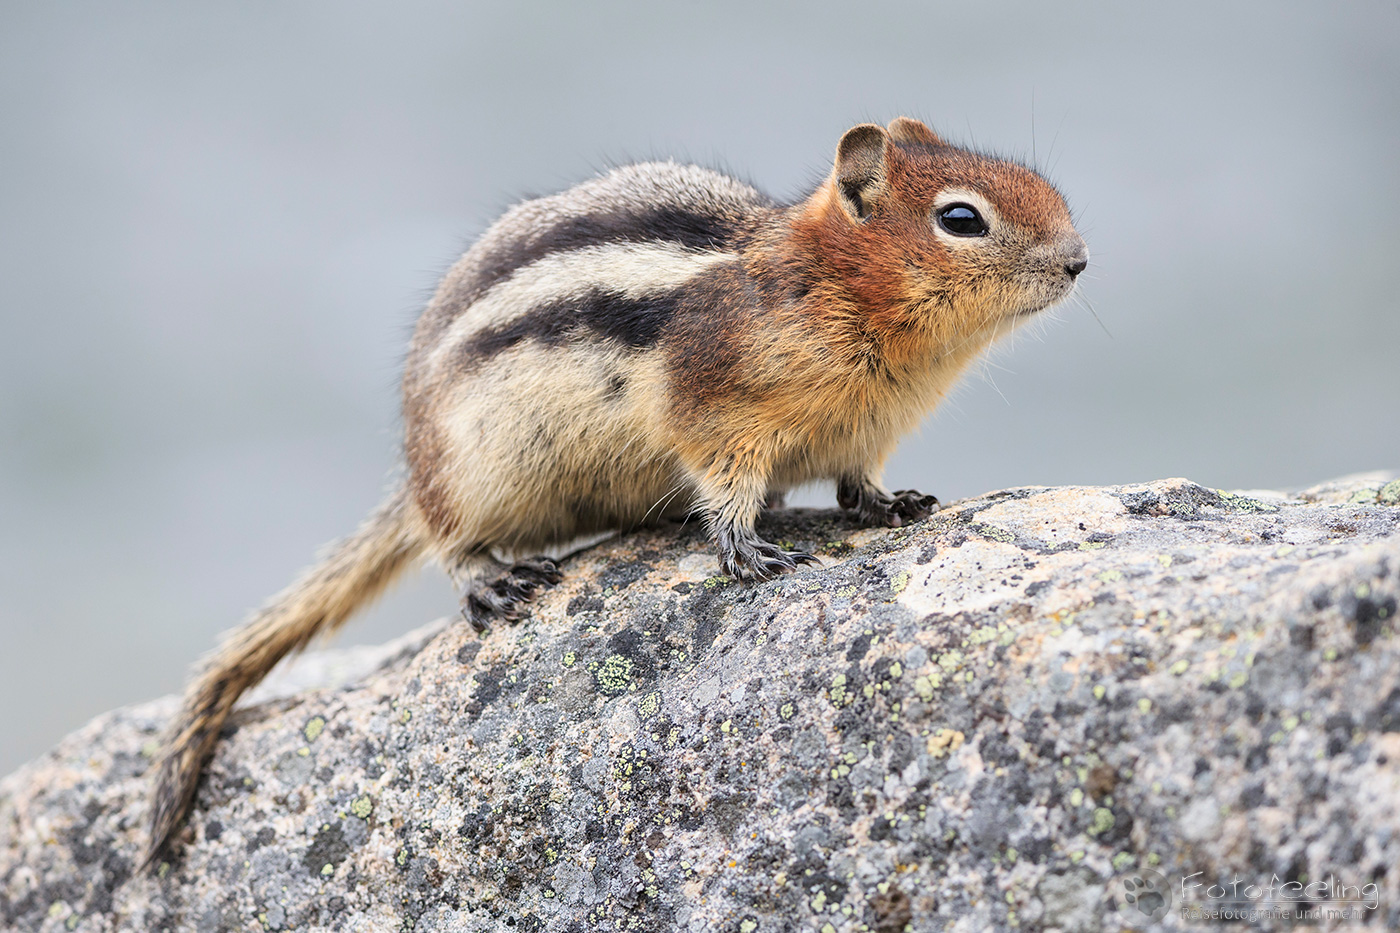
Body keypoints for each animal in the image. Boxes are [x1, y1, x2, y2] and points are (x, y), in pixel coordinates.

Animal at [145, 116, 1087, 863]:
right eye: (961, 218)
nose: (1080, 261)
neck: (830, 286)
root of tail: (414, 470)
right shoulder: (719, 410)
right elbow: (724, 483)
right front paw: (748, 549)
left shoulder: (866, 431)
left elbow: (859, 486)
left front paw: (893, 505)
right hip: (469, 471)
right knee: (446, 538)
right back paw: (491, 577)